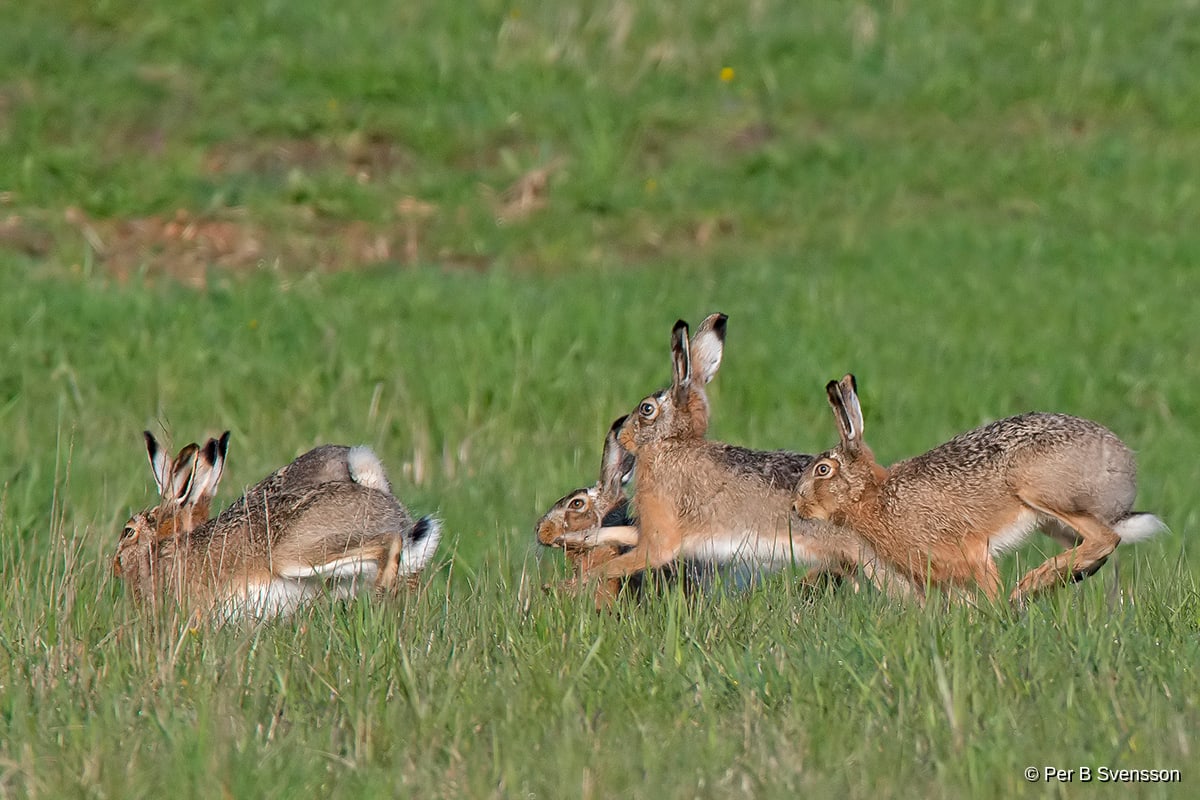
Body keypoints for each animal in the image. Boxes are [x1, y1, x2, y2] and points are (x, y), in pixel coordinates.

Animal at [561, 314, 864, 602]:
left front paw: (581, 582)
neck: (672, 444)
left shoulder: (660, 534)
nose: (622, 435)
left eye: (646, 409)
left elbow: (632, 560)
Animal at [792, 374, 1167, 605]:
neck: (872, 495)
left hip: (1039, 490)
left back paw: (1026, 588)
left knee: (1105, 539)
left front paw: (999, 613)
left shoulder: (971, 555)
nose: (796, 508)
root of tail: (1122, 462)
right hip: (1052, 521)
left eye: (823, 470)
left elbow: (988, 589)